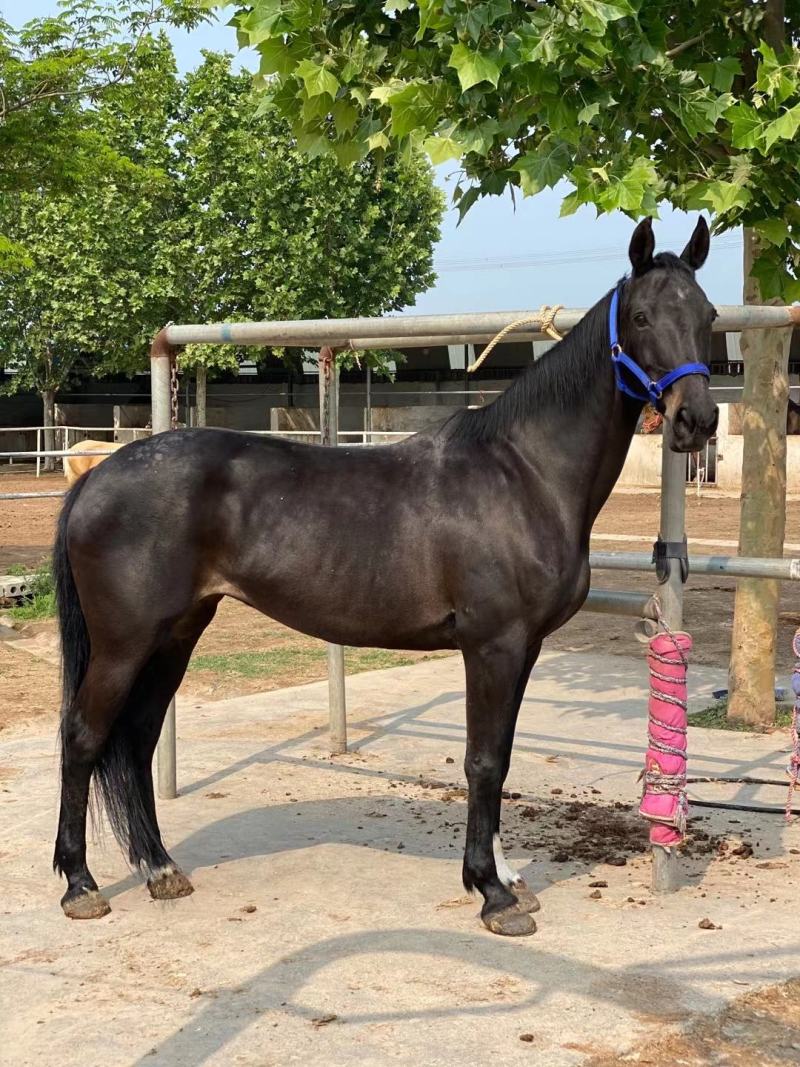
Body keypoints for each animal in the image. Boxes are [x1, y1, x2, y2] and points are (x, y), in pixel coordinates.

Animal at [52, 218, 718, 935]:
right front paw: (492, 892)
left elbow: (502, 755)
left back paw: (160, 869)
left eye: (708, 315)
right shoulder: (494, 644)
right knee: (84, 736)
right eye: (643, 316)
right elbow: (484, 760)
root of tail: (96, 476)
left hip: (177, 634)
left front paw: (508, 878)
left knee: (138, 738)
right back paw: (81, 884)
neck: (522, 473)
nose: (698, 420)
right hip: (125, 643)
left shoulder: (525, 646)